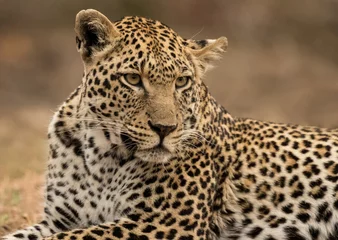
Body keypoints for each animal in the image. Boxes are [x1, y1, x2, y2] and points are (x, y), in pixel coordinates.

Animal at [2, 8, 338, 240]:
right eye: (133, 79)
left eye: (182, 82)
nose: (165, 129)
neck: (102, 156)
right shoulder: (58, 220)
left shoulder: (162, 223)